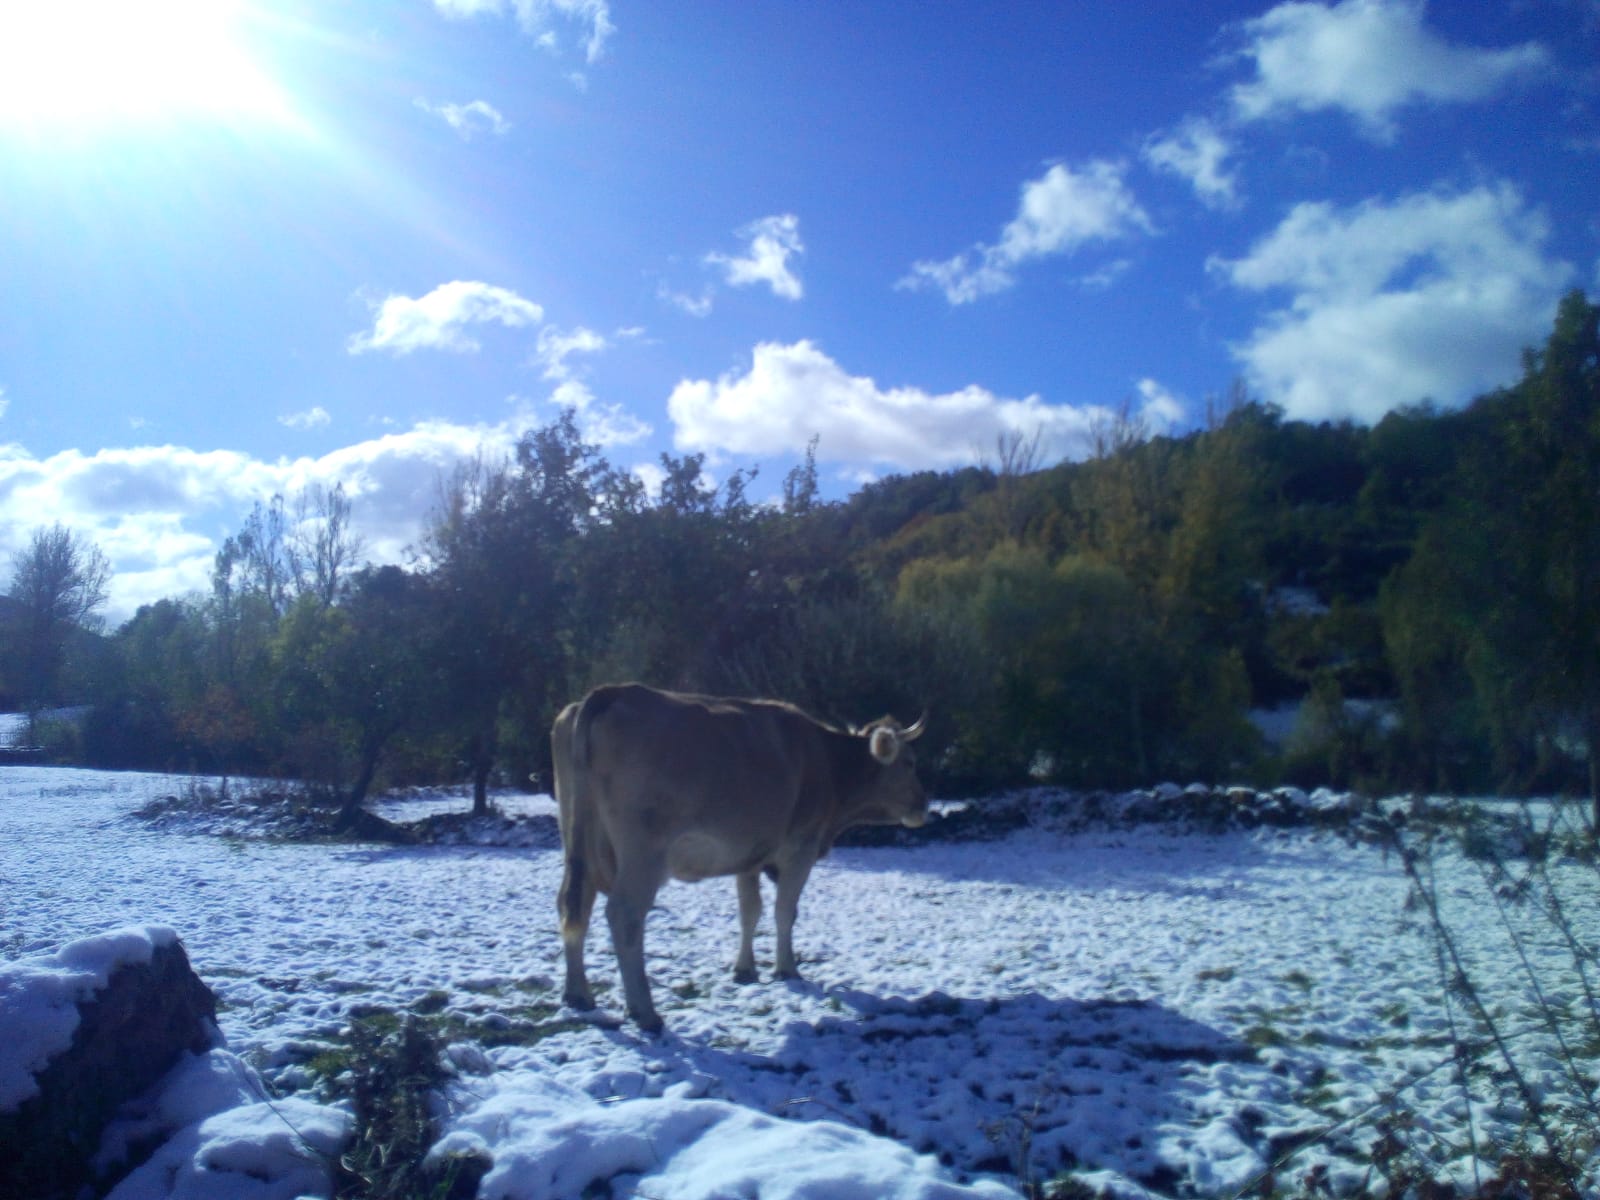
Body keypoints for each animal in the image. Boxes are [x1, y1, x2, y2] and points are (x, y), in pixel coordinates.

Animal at [553, 684, 928, 1036]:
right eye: (909, 762)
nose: (924, 805)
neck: (827, 762)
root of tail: (612, 691)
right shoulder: (800, 849)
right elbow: (784, 912)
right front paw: (786, 969)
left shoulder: (749, 857)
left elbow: (750, 911)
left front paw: (745, 969)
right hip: (642, 852)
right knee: (624, 914)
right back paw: (645, 1012)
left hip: (577, 842)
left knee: (574, 904)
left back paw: (578, 994)